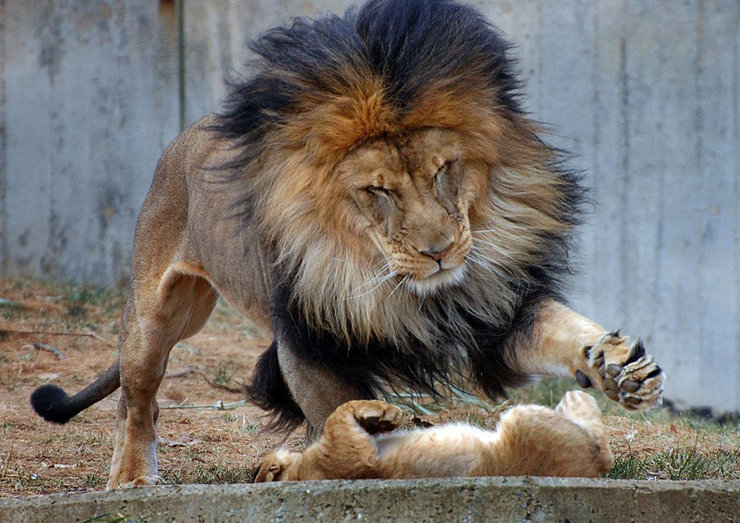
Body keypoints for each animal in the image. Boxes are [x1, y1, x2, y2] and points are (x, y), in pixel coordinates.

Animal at [255, 391, 613, 482]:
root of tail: (588, 474)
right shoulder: (349, 459)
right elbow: (336, 414)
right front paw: (382, 414)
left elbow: (339, 411)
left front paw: (383, 419)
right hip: (521, 419)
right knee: (602, 451)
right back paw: (577, 398)